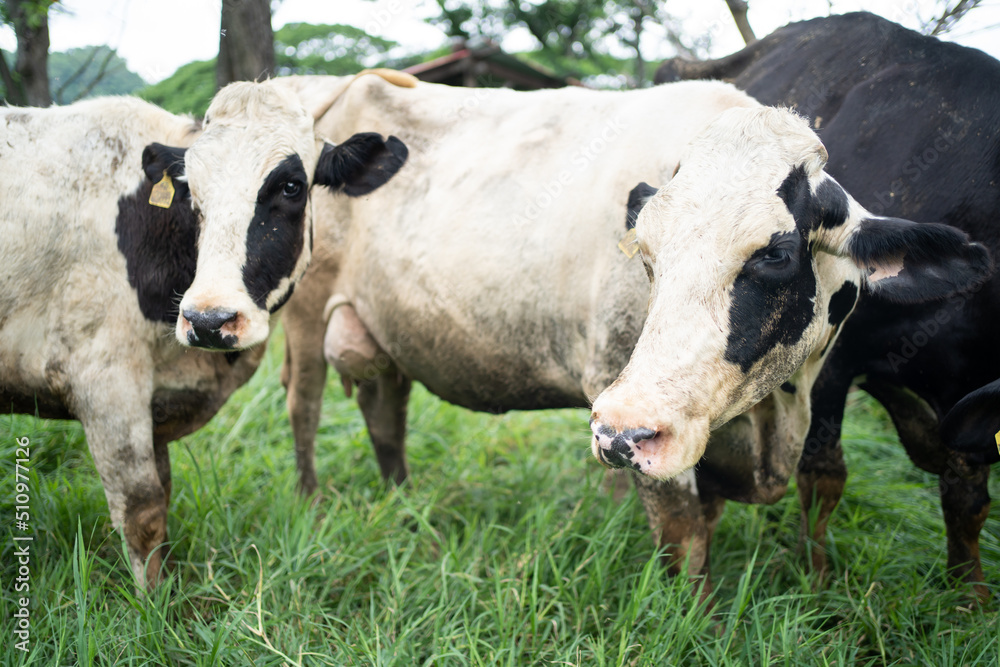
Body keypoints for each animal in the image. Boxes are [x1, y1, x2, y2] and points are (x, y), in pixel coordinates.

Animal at [0, 87, 406, 588]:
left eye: (291, 187)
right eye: (191, 190)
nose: (210, 320)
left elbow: (163, 492)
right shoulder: (104, 381)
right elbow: (143, 511)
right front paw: (152, 602)